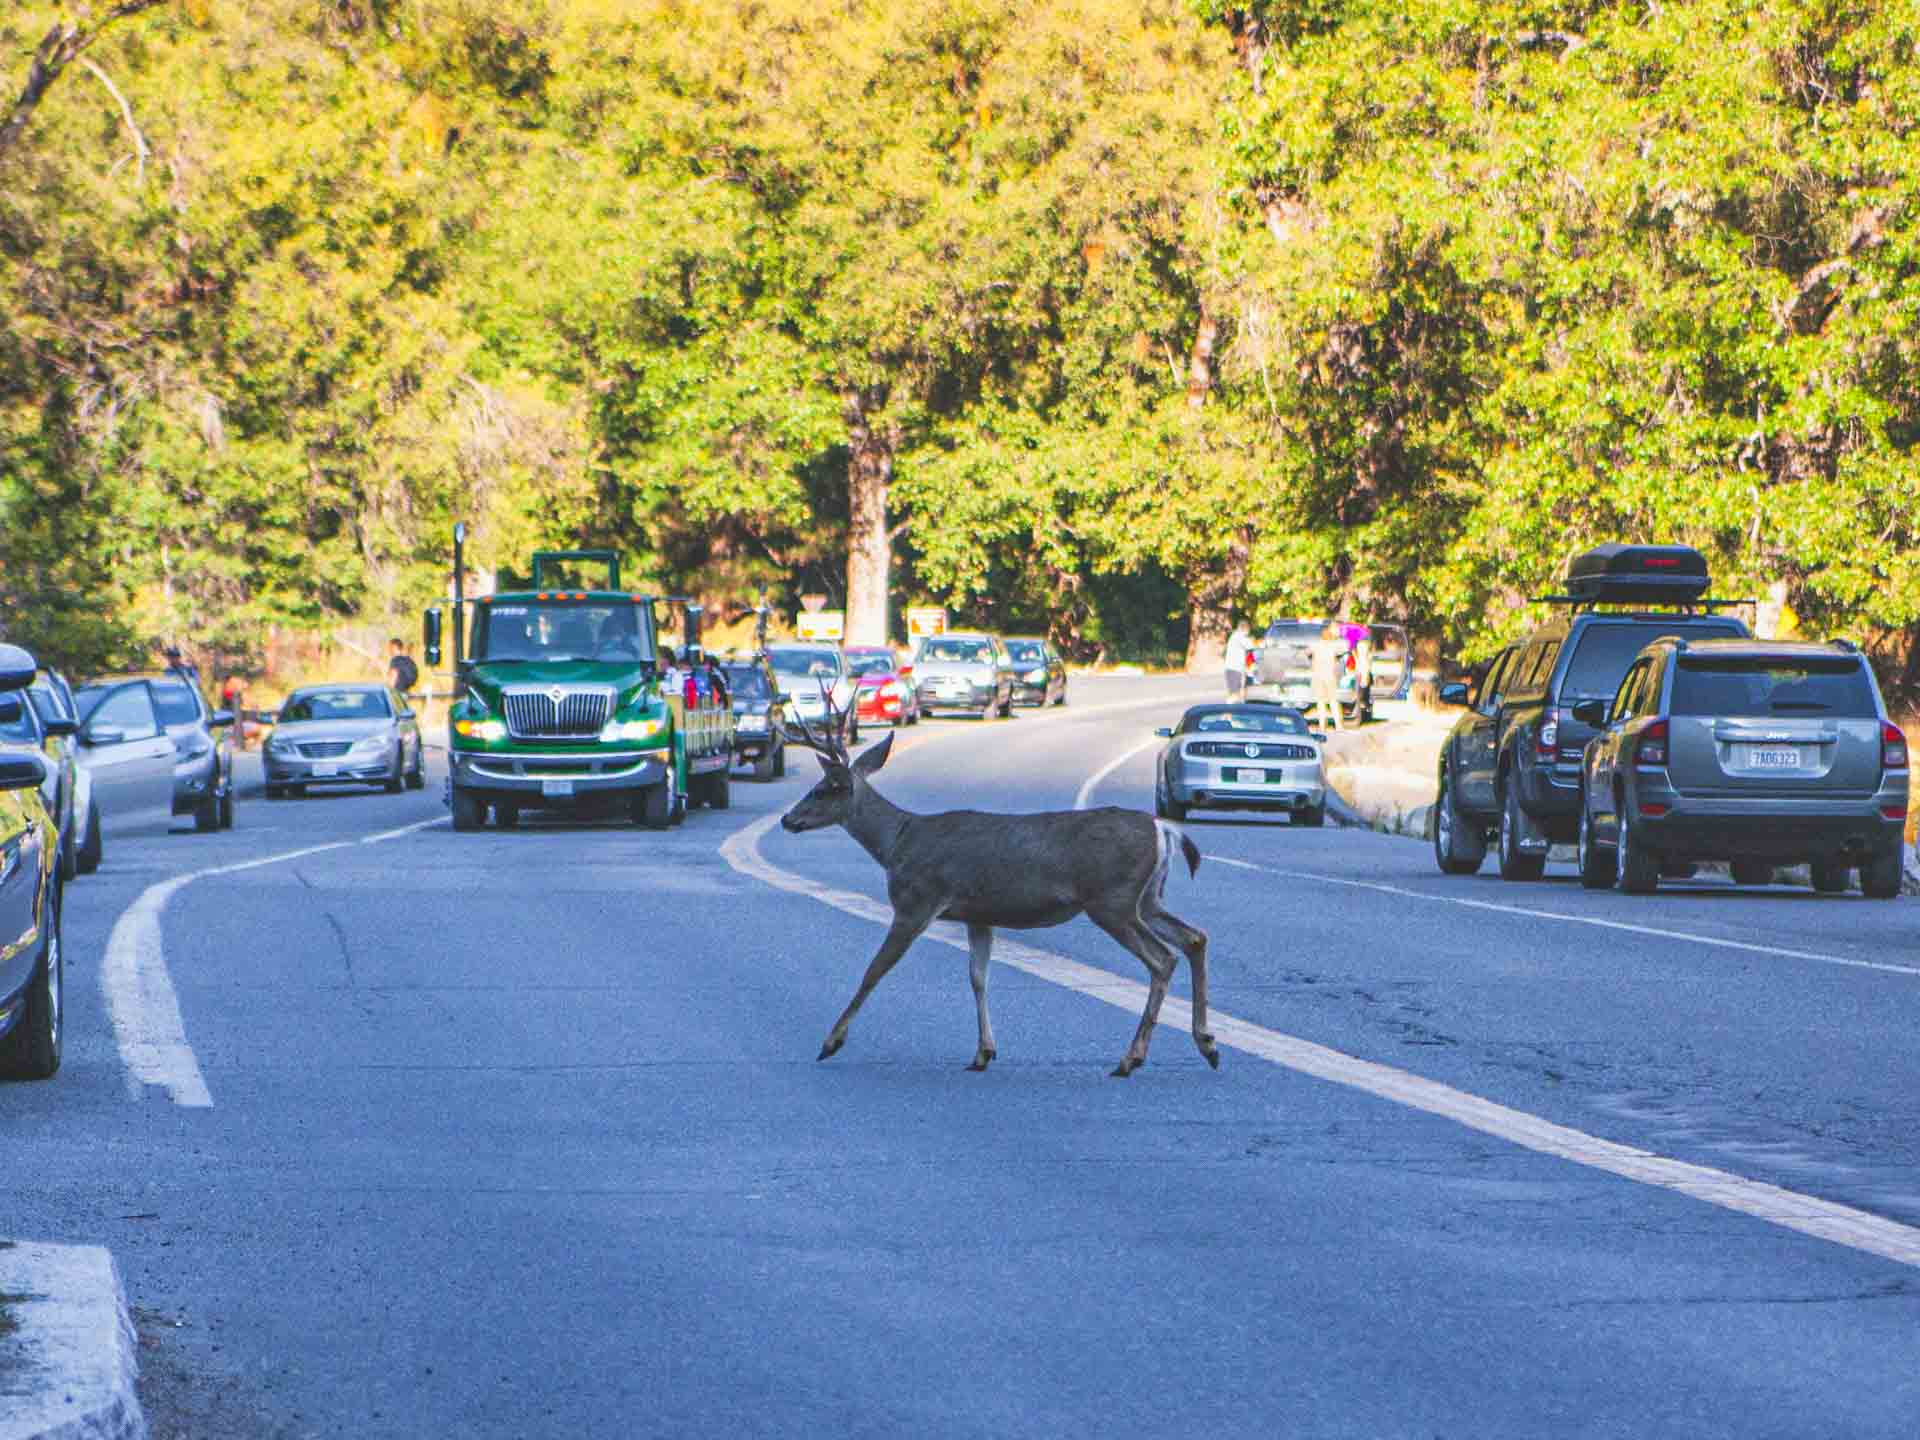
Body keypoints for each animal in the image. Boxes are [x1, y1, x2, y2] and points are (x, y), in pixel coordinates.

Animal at [775, 695, 1213, 1075]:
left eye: (824, 788)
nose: (787, 819)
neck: (898, 841)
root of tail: (1163, 828)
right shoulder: (978, 914)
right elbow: (978, 977)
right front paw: (984, 1052)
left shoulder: (916, 901)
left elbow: (875, 969)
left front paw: (831, 1042)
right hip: (1147, 898)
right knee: (1194, 937)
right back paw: (1207, 1044)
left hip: (1112, 899)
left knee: (1163, 958)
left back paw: (1131, 1058)